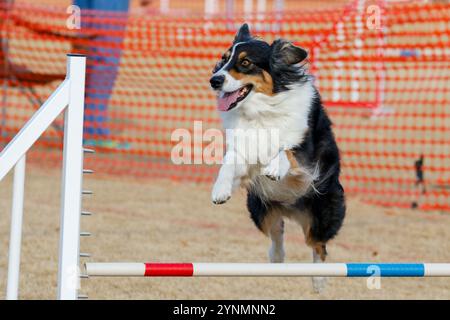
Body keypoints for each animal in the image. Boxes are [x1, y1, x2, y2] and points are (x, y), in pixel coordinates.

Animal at [209, 23, 346, 292]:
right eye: (223, 59)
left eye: (246, 63)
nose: (214, 80)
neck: (263, 110)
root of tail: (291, 210)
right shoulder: (245, 155)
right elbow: (228, 164)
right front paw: (220, 190)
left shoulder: (306, 155)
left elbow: (286, 150)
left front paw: (274, 168)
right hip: (259, 208)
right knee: (277, 232)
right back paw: (276, 258)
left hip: (322, 213)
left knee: (318, 245)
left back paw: (319, 280)